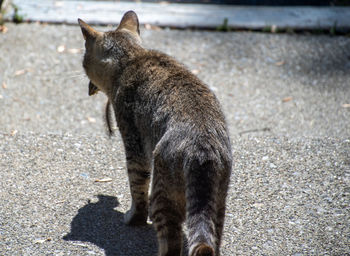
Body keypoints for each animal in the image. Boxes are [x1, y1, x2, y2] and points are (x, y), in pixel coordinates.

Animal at [79, 11, 232, 256]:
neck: (133, 58)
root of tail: (201, 150)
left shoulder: (134, 146)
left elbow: (137, 189)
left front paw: (134, 218)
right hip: (217, 202)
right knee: (210, 240)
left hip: (162, 194)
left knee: (171, 242)